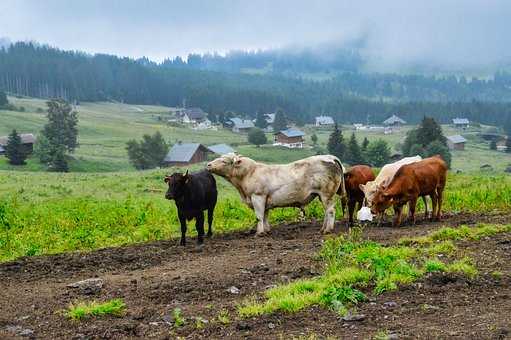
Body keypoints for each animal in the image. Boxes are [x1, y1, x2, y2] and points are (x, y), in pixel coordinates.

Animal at [206, 153, 346, 235]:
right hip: (321, 195)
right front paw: (267, 230)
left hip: (326, 193)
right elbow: (265, 215)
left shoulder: (258, 196)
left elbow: (259, 216)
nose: (208, 164)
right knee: (326, 212)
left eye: (224, 161)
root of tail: (330, 157)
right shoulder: (265, 199)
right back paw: (322, 228)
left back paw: (327, 230)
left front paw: (259, 233)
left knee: (331, 211)